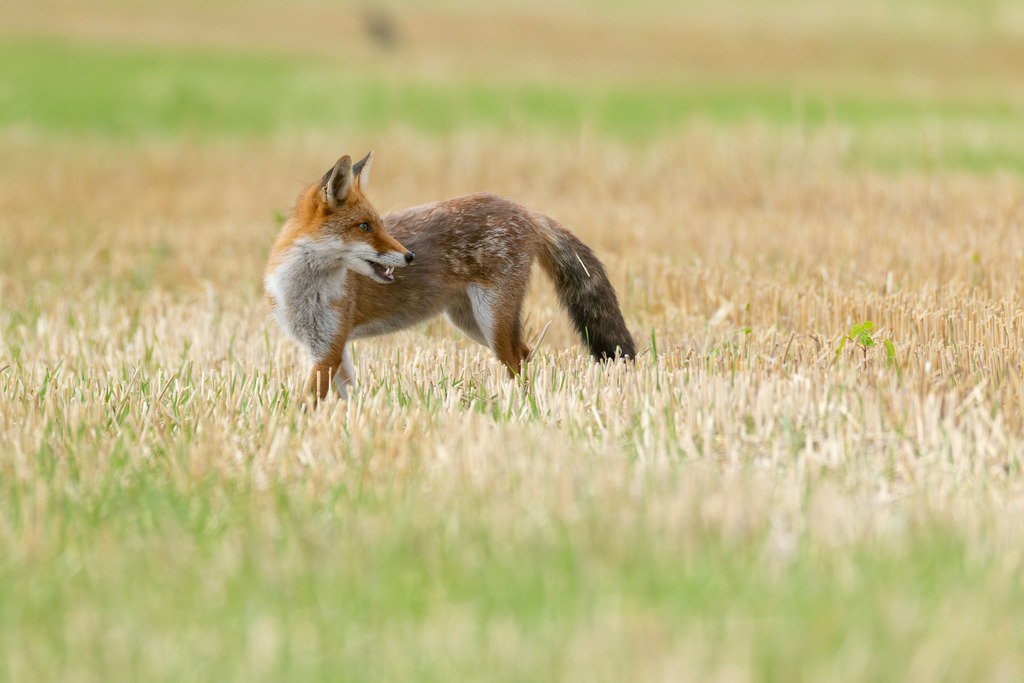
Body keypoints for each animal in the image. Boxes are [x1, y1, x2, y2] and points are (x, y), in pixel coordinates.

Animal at [264, 151, 635, 402]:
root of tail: (525, 210)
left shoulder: (327, 349)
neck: (302, 289)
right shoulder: (328, 348)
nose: (409, 256)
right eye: (365, 227)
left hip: (492, 321)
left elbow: (305, 404)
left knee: (517, 359)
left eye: (380, 225)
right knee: (529, 354)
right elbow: (349, 396)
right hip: (470, 322)